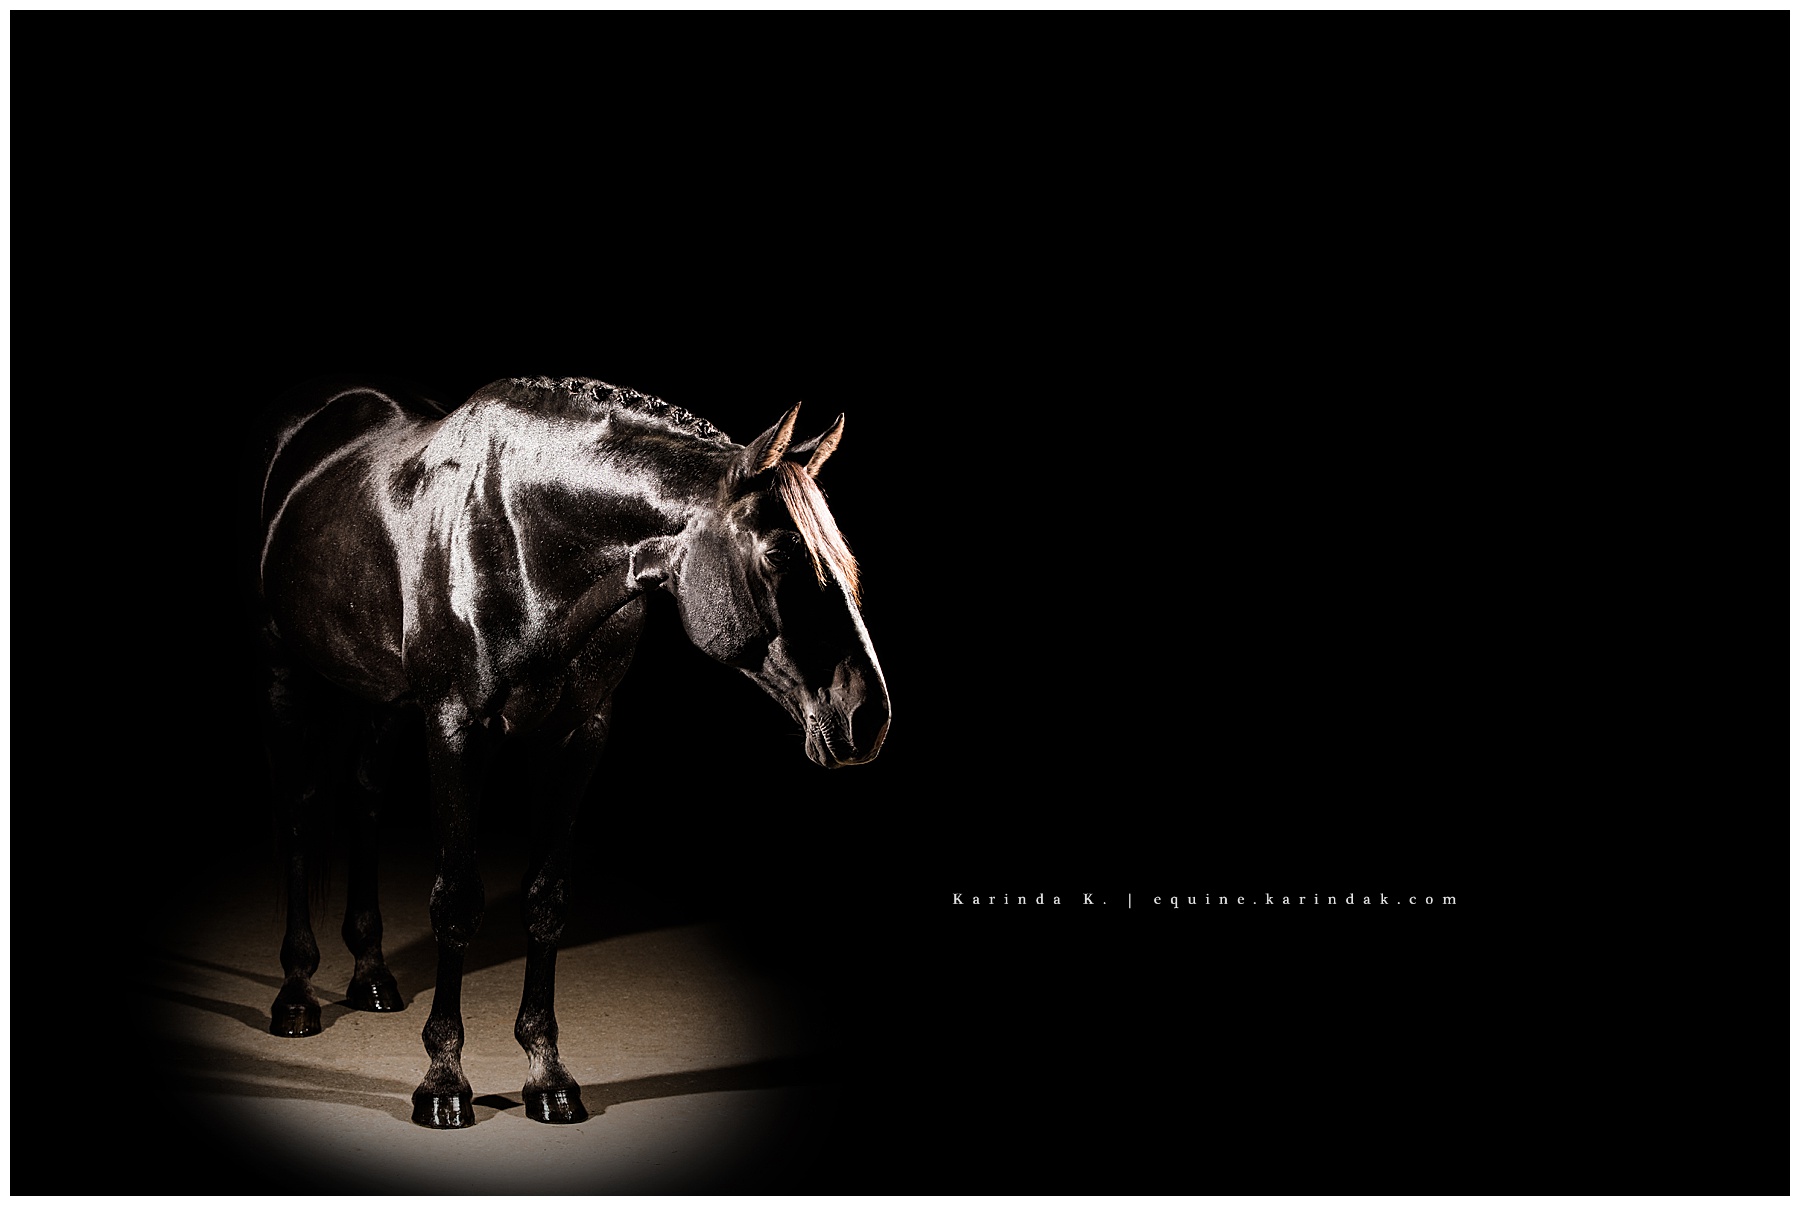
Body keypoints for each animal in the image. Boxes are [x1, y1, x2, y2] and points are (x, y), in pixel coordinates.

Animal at [254, 374, 890, 1128]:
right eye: (782, 555)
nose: (867, 717)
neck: (527, 544)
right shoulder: (455, 728)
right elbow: (455, 900)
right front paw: (443, 1081)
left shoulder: (578, 735)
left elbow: (547, 900)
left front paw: (548, 1073)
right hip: (288, 668)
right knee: (298, 811)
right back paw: (296, 993)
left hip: (379, 695)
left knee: (365, 797)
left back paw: (372, 975)